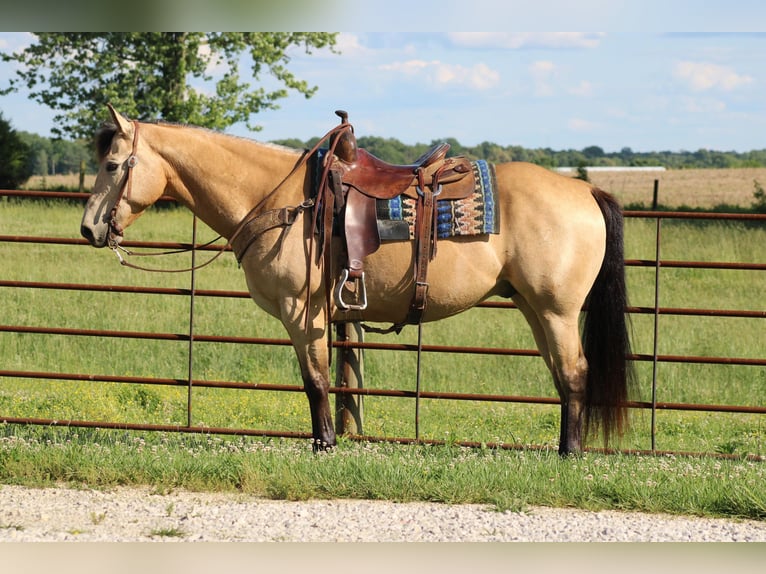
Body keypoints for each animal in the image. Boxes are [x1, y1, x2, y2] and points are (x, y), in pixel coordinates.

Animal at [80, 104, 633, 455]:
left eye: (112, 164)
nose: (88, 229)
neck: (281, 200)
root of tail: (585, 190)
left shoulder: (302, 312)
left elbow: (316, 379)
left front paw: (323, 444)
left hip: (556, 310)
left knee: (575, 373)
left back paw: (571, 453)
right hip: (534, 308)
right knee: (562, 376)